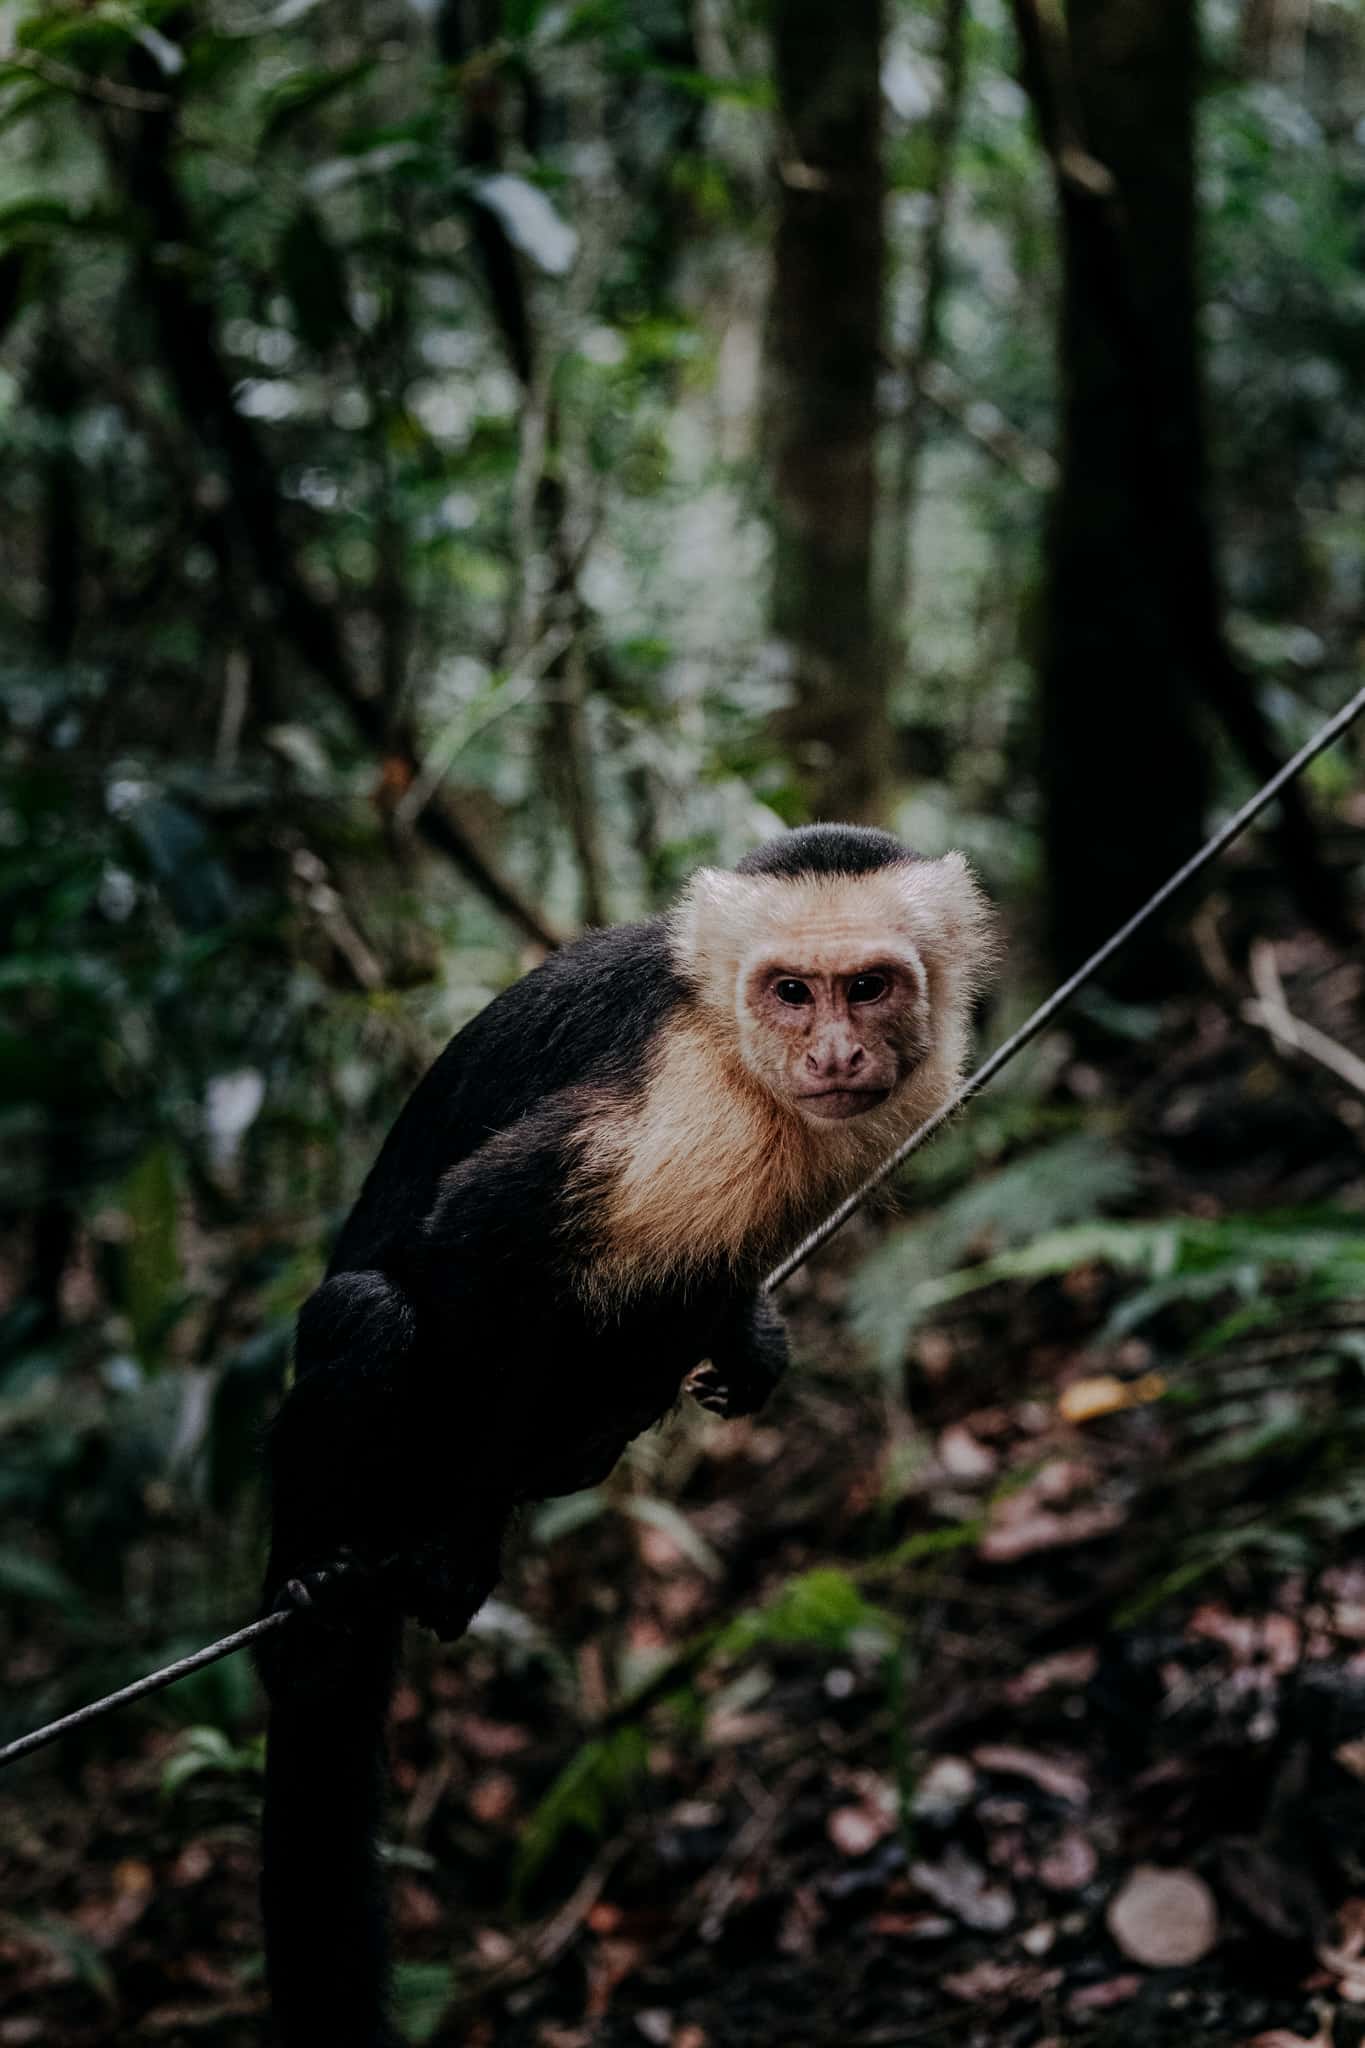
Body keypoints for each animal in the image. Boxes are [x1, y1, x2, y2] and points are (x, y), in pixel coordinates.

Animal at [255, 823, 994, 2048]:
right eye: (789, 992)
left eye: (868, 987)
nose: (836, 1051)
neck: (734, 1051)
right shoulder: (676, 1108)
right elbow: (469, 1248)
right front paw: (462, 1537)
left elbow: (716, 1269)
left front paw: (748, 1335)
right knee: (377, 1317)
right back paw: (322, 1598)